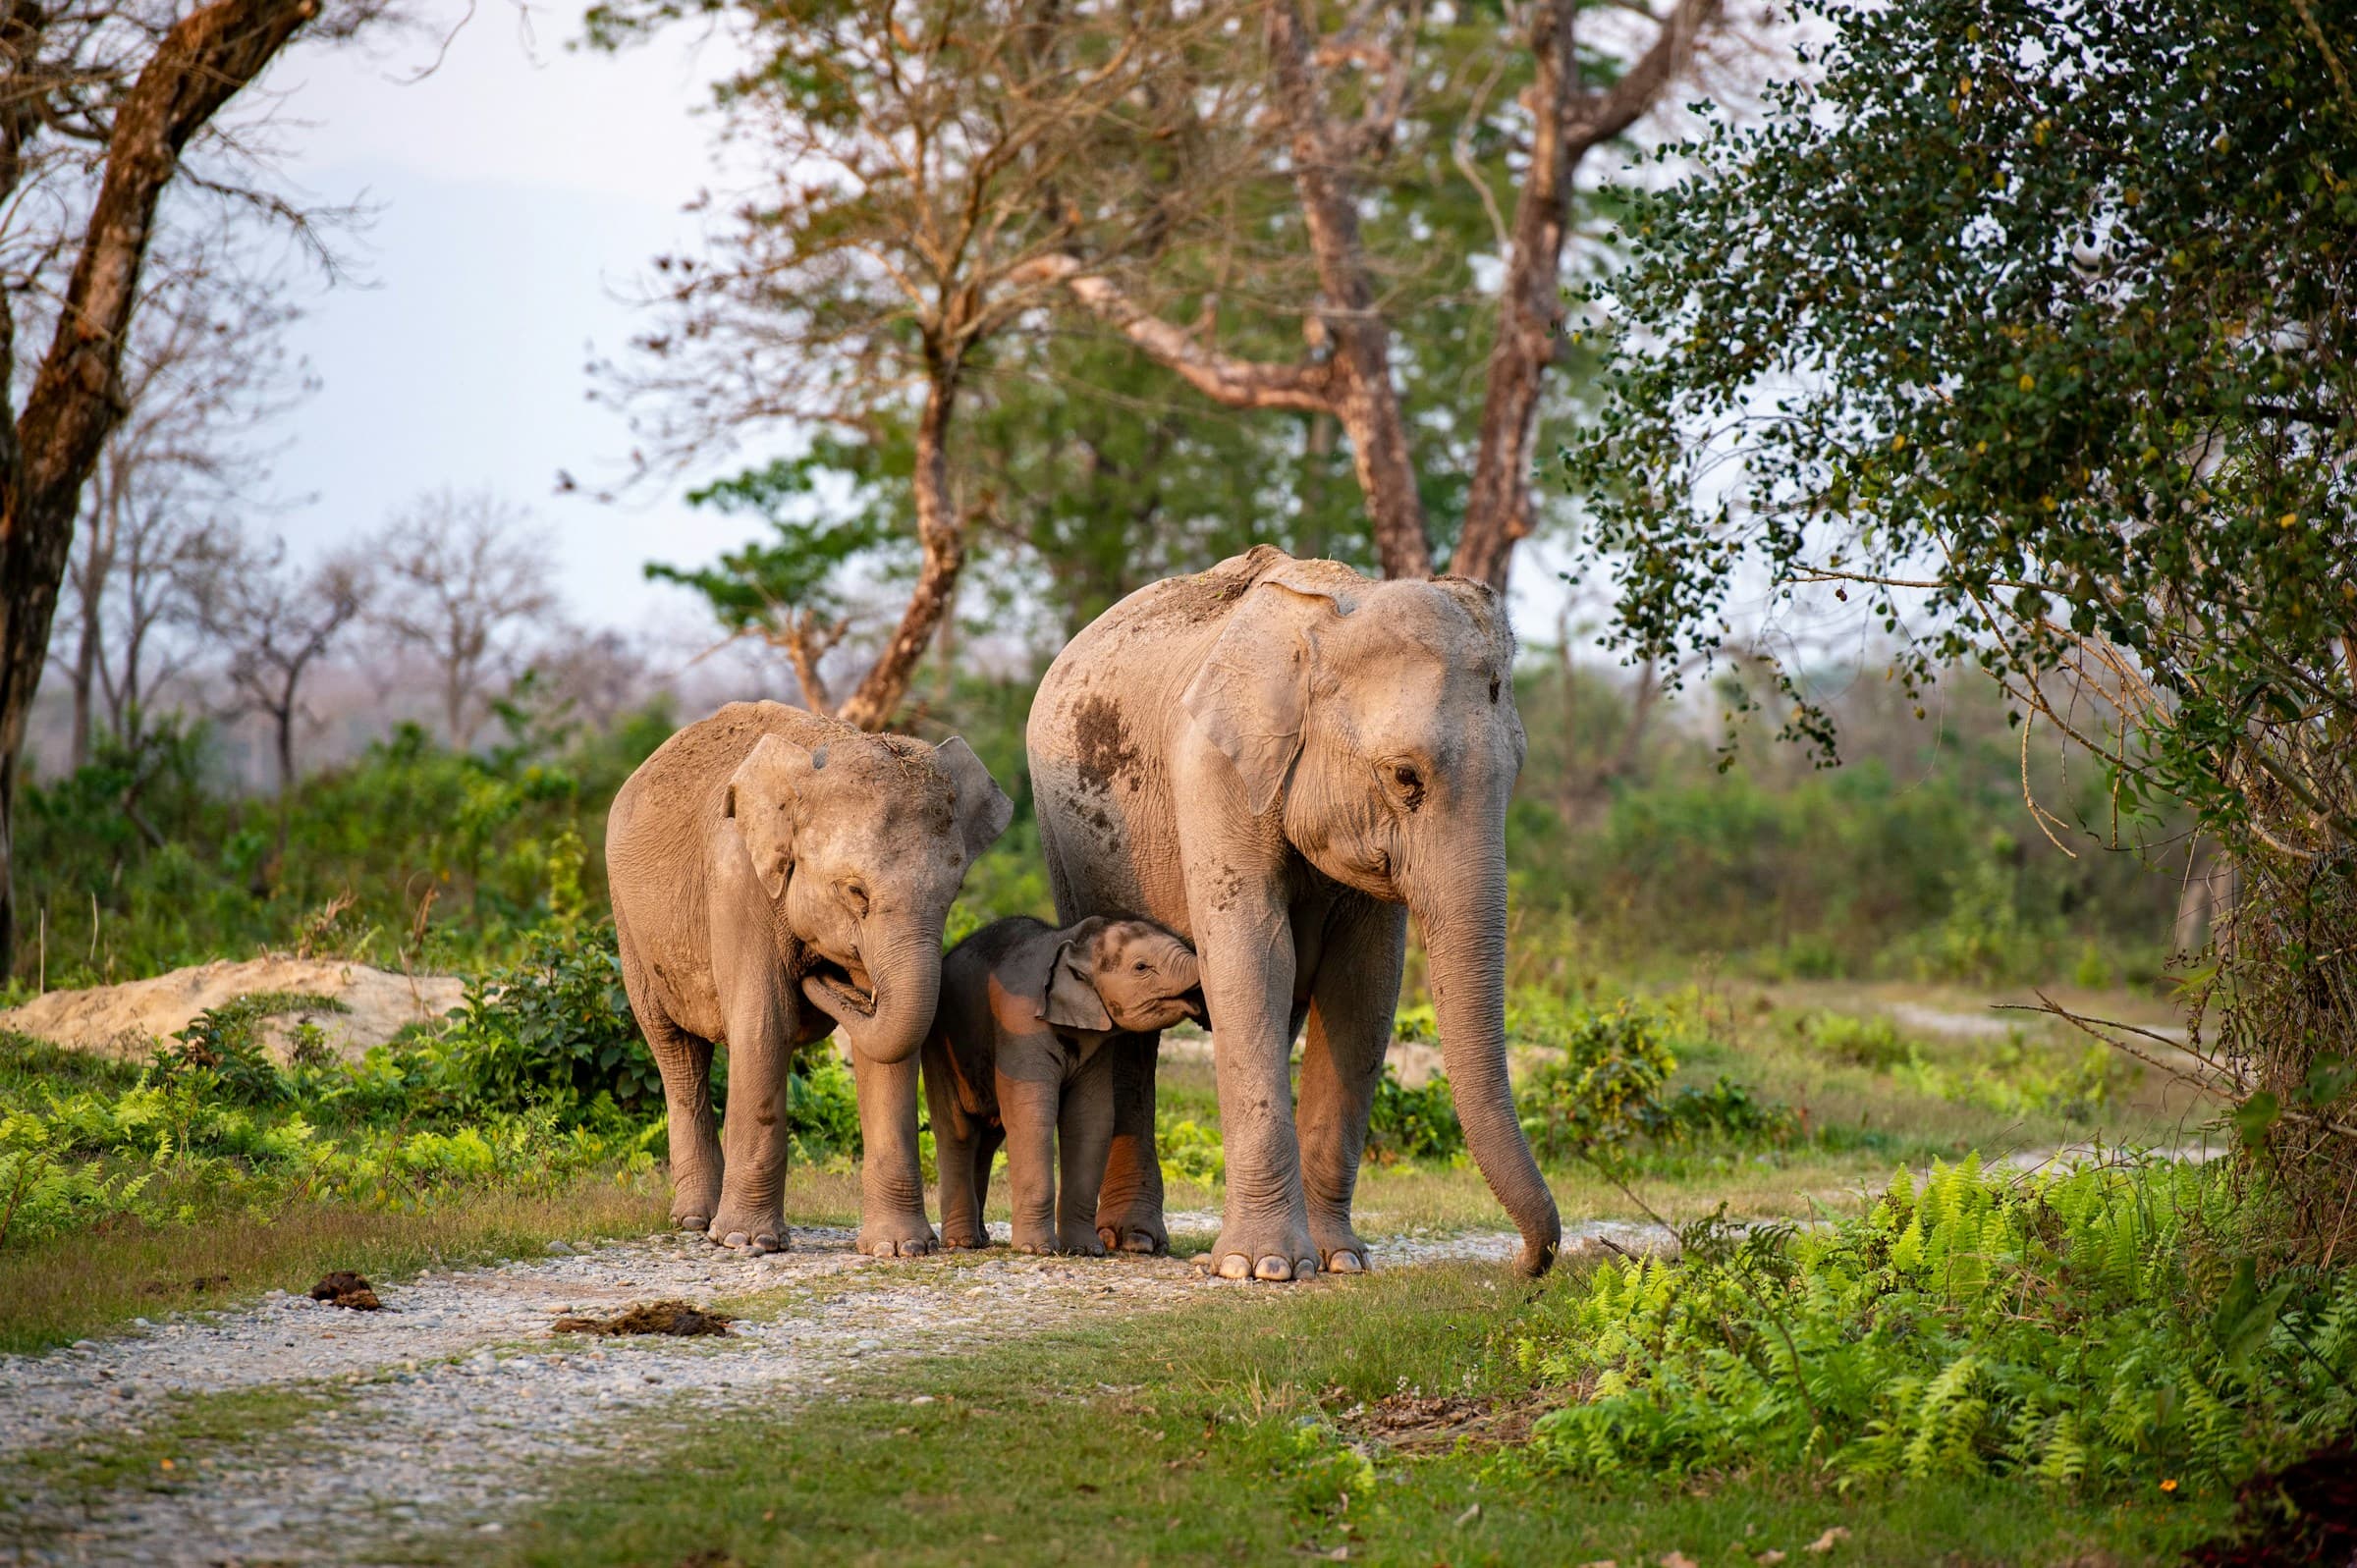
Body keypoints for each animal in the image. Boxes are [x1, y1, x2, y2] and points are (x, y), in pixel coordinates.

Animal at [606, 701, 1013, 1256]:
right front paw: (745, 1241)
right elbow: (764, 1025)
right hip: (630, 928)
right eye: (856, 892)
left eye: (955, 892)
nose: (821, 976)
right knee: (675, 1049)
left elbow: (885, 1048)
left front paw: (899, 1249)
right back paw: (696, 1222)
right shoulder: (738, 883)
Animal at [921, 916, 1203, 1256]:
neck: (1074, 942)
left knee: (988, 1137)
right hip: (940, 1045)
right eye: (1141, 967)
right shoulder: (1021, 1024)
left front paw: (1087, 1250)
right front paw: (1036, 1249)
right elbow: (1032, 1117)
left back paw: (980, 1239)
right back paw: (961, 1243)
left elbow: (1090, 1120)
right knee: (958, 1131)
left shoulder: (1098, 1044)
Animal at [1025, 545, 1561, 1281]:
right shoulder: (1213, 769)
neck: (1331, 619)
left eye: (1516, 774)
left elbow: (1361, 987)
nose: (1523, 1265)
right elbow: (1255, 956)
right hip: (1067, 837)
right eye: (1405, 777)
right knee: (1128, 1025)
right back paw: (1133, 1241)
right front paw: (1265, 1269)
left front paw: (1339, 1261)